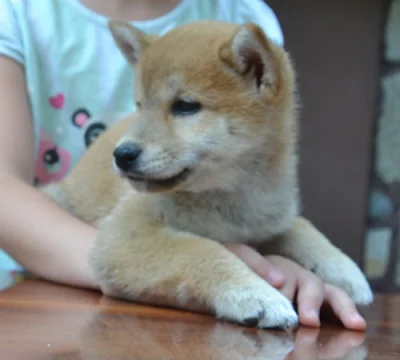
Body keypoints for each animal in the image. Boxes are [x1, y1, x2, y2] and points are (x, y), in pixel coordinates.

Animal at [42, 19, 374, 330]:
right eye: (140, 105)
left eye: (185, 106)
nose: (122, 155)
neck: (232, 201)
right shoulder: (122, 236)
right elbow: (200, 249)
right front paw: (254, 293)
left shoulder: (268, 220)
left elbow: (301, 227)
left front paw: (346, 271)